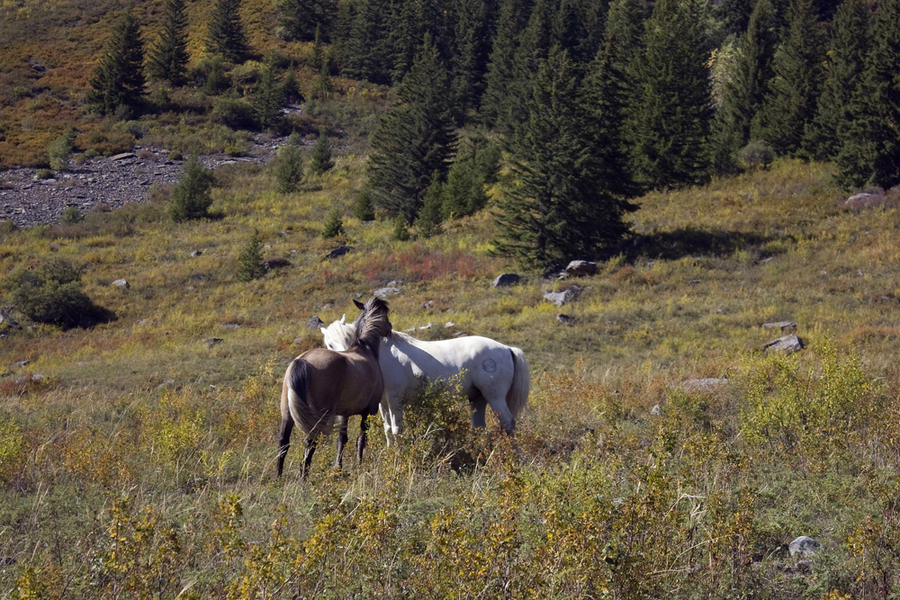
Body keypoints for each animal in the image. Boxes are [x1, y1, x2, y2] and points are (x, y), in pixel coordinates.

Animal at [276, 298, 392, 480]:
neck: (366, 350)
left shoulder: (343, 414)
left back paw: (278, 477)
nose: (390, 328)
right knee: (310, 442)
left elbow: (341, 440)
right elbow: (361, 439)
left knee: (283, 442)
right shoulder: (368, 412)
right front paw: (359, 464)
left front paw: (338, 467)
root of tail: (302, 360)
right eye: (386, 315)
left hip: (287, 414)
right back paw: (303, 476)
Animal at [322, 314, 528, 446]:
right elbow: (387, 429)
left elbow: (397, 429)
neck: (381, 354)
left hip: (495, 397)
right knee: (478, 428)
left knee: (508, 424)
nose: (349, 362)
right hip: (478, 398)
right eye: (329, 344)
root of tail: (507, 348)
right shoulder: (383, 403)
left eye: (348, 339)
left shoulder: (394, 398)